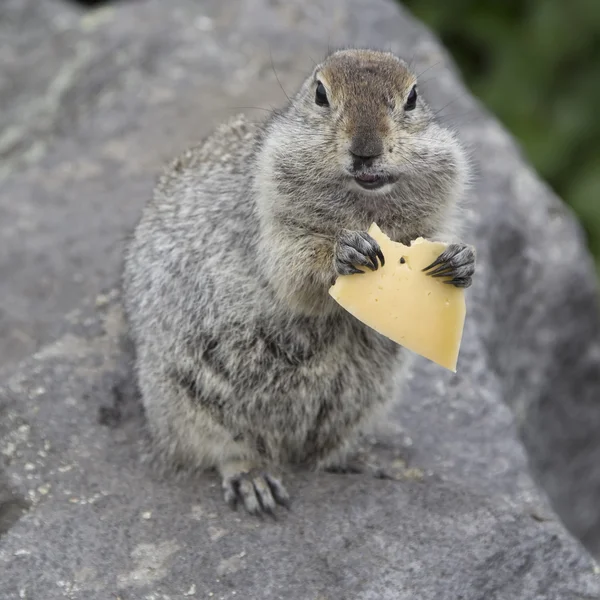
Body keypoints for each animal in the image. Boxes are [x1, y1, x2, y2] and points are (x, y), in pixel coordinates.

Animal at [124, 49, 476, 512]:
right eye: (320, 94)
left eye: (413, 97)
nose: (365, 150)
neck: (365, 207)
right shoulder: (270, 223)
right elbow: (294, 272)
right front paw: (347, 251)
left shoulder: (435, 218)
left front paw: (459, 260)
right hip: (182, 398)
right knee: (220, 450)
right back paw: (254, 479)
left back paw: (355, 460)